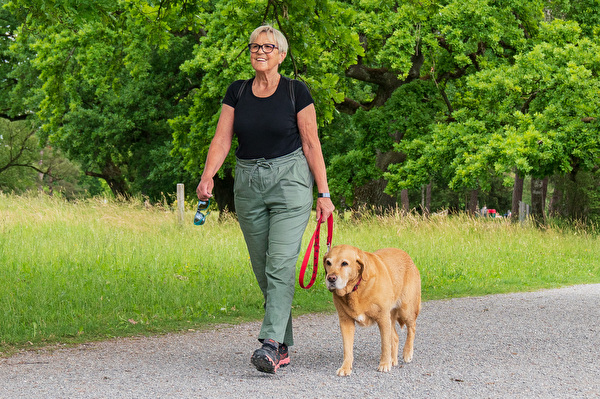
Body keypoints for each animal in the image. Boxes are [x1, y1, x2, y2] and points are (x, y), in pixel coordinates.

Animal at [324, 244, 422, 378]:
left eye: (344, 263)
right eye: (328, 262)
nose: (331, 278)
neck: (356, 288)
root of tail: (407, 256)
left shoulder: (383, 318)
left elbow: (385, 344)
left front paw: (384, 364)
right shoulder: (345, 321)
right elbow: (347, 348)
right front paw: (345, 367)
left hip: (406, 309)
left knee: (412, 328)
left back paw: (407, 353)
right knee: (395, 337)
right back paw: (393, 360)